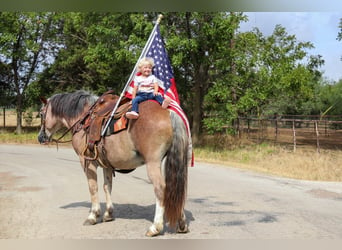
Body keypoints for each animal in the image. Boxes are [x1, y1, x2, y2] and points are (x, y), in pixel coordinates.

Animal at [38, 90, 191, 236]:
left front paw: (93, 215)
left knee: (160, 188)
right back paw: (181, 224)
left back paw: (155, 227)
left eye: (41, 113)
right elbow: (107, 186)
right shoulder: (107, 164)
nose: (40, 137)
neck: (83, 119)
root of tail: (169, 112)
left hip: (153, 162)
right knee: (175, 187)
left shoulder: (87, 162)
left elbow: (93, 187)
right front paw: (108, 214)